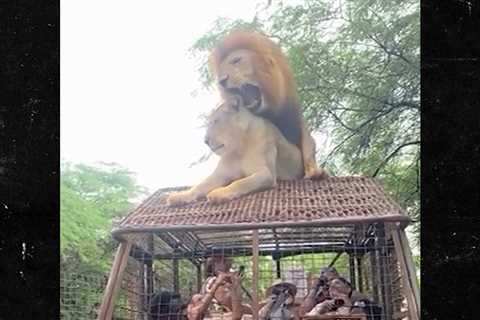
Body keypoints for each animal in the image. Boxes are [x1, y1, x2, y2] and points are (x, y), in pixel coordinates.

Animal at [167, 95, 302, 206]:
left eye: (216, 121)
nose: (205, 141)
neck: (238, 148)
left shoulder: (265, 173)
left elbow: (241, 182)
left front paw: (219, 193)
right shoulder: (220, 174)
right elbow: (200, 185)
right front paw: (180, 196)